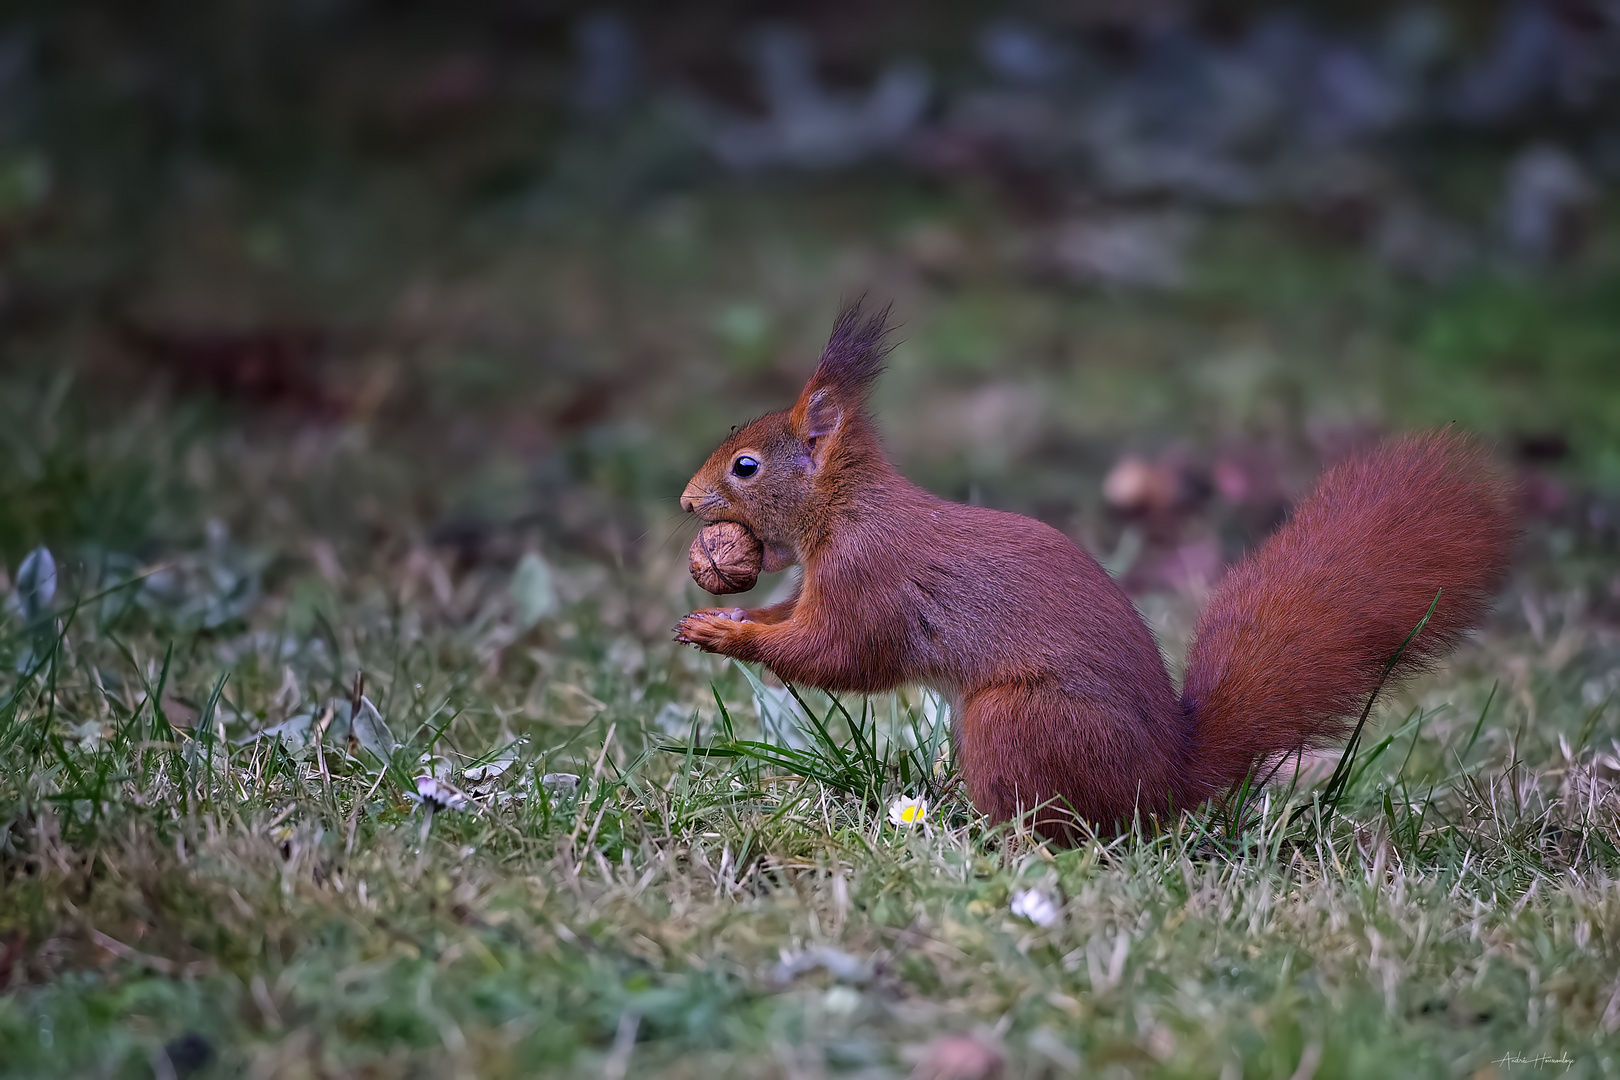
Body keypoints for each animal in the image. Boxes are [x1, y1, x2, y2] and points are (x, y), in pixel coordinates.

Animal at [670, 302, 1516, 835]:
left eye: (746, 466)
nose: (685, 501)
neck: (844, 510)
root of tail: (1163, 781)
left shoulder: (868, 580)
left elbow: (838, 654)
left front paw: (729, 635)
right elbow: (794, 623)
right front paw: (730, 616)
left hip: (1018, 722)